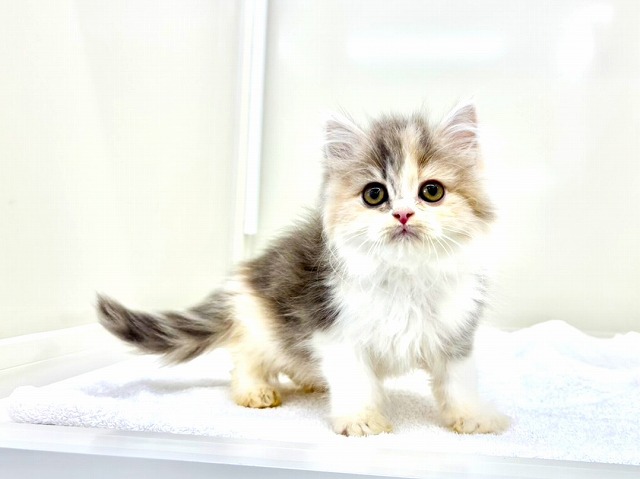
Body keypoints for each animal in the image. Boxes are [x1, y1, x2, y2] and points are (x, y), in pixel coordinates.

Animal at [97, 102, 510, 436]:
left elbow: (459, 383)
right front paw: (361, 421)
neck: (405, 277)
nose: (403, 214)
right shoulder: (336, 329)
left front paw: (475, 418)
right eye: (374, 194)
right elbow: (354, 381)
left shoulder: (456, 335)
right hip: (262, 323)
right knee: (245, 356)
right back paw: (254, 390)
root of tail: (241, 284)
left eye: (432, 191)